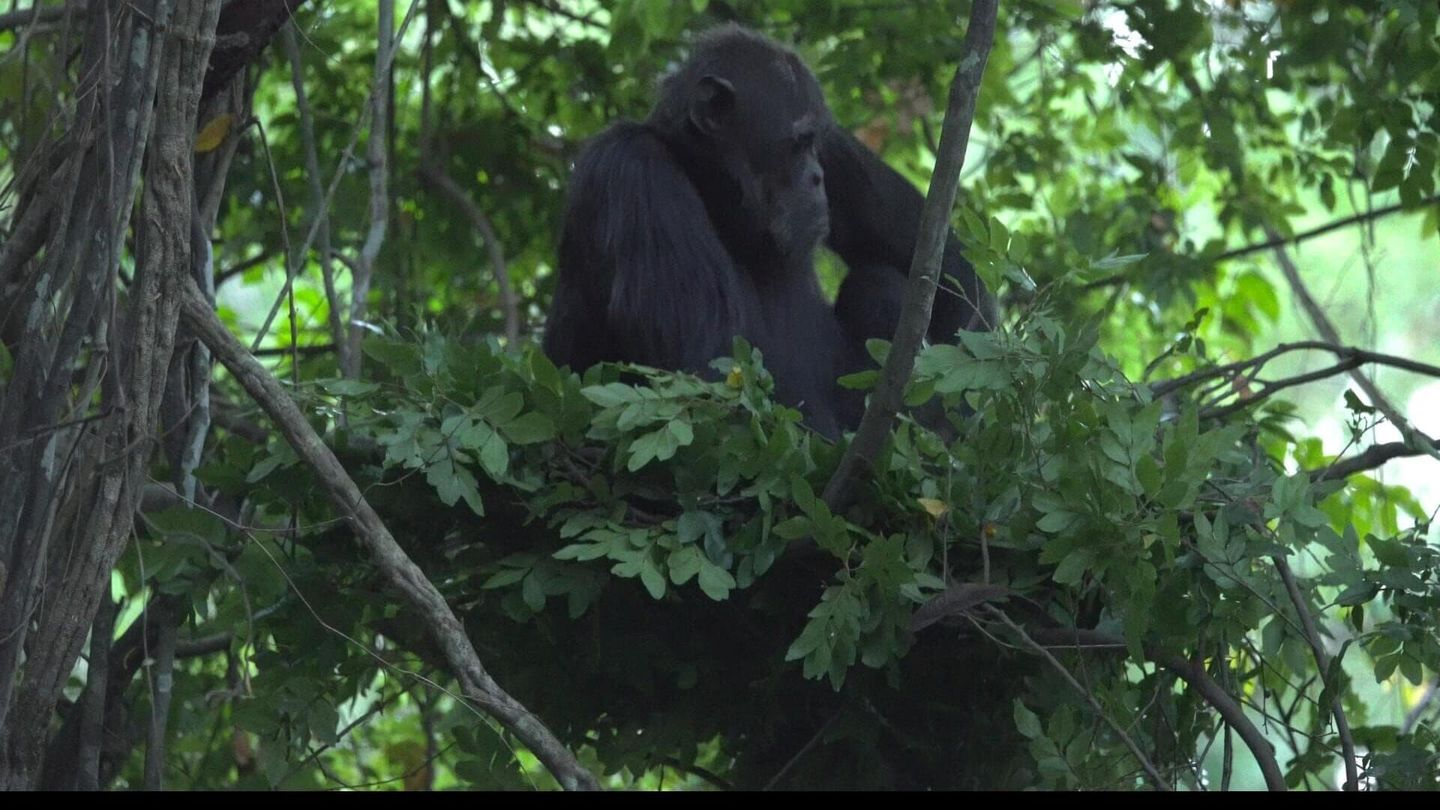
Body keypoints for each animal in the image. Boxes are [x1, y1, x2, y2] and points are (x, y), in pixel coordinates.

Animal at [541, 25, 990, 435]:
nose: (816, 177)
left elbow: (947, 263)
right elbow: (705, 375)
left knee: (879, 284)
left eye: (815, 141)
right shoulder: (630, 169)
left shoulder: (836, 149)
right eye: (799, 142)